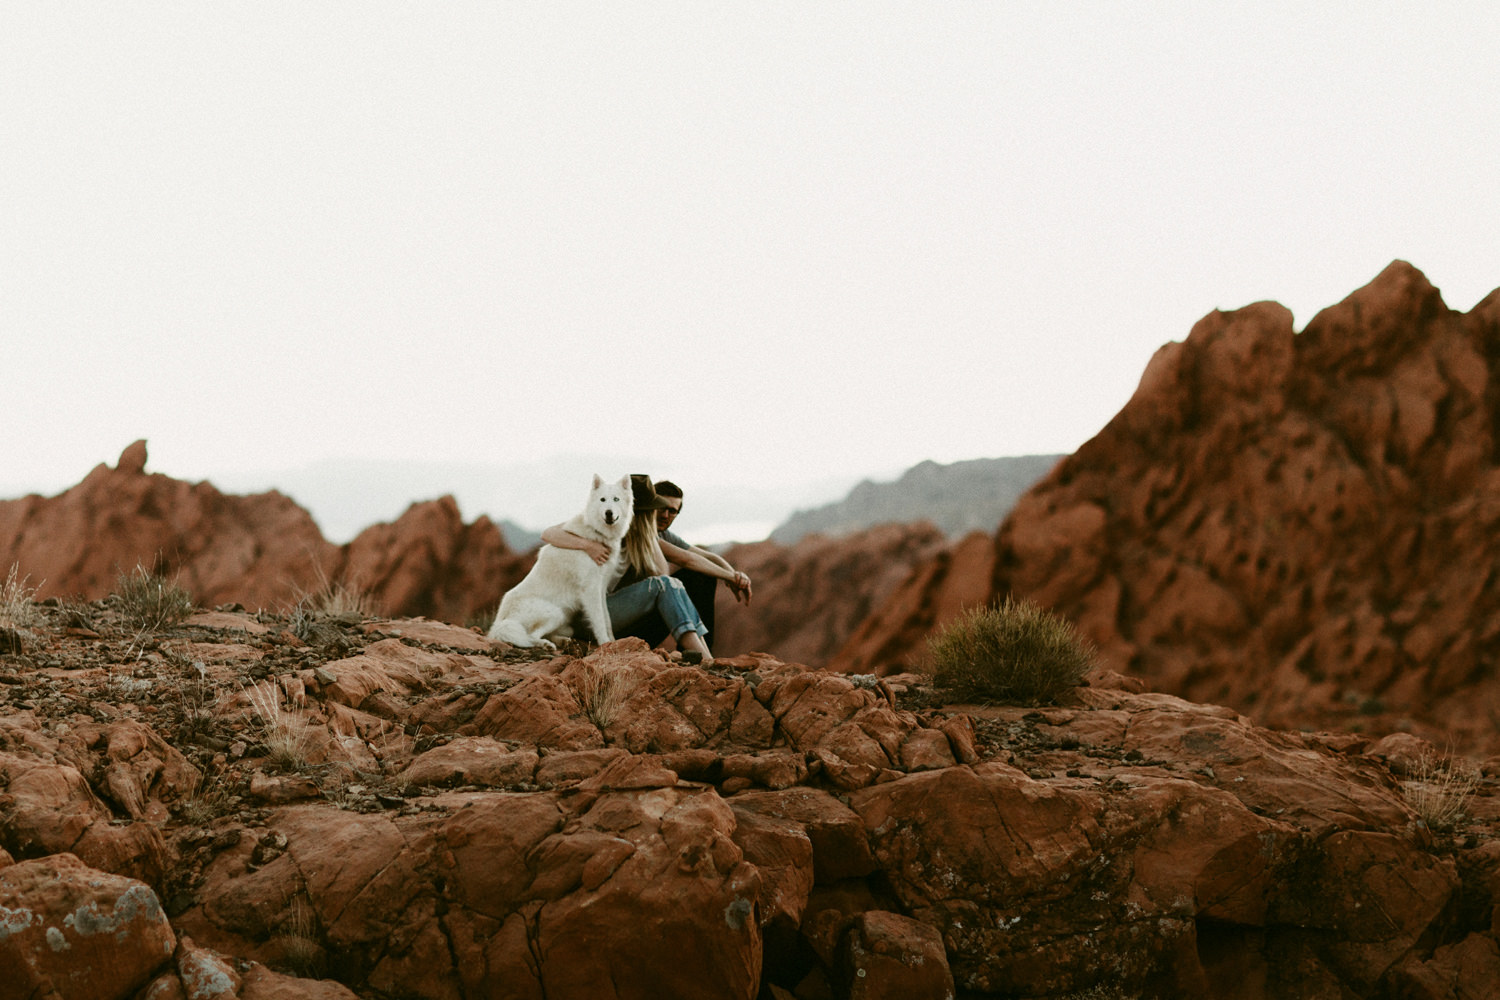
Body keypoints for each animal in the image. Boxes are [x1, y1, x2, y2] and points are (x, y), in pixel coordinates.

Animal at [483, 476, 630, 650]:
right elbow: (599, 621)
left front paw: (614, 641)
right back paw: (546, 645)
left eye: (616, 499)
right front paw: (605, 643)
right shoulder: (590, 590)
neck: (595, 533)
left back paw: (562, 641)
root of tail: (498, 624)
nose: (609, 513)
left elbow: (606, 618)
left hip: (565, 623)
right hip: (555, 613)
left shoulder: (600, 588)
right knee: (530, 636)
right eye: (602, 500)